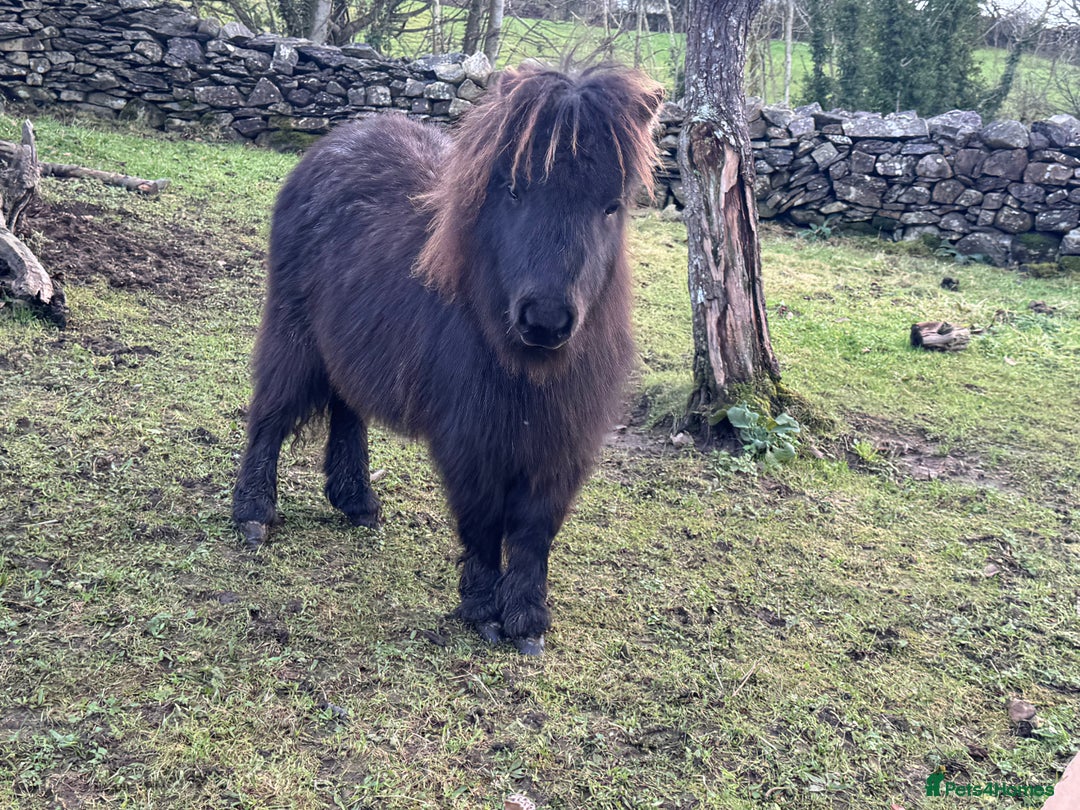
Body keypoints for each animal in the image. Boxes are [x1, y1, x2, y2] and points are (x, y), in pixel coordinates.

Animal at [232, 64, 663, 654]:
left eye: (611, 205)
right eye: (514, 190)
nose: (544, 321)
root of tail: (336, 141)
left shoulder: (561, 445)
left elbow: (534, 532)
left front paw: (528, 620)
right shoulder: (471, 440)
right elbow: (482, 524)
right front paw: (483, 612)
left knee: (346, 410)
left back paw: (357, 502)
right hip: (292, 336)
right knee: (271, 414)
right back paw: (253, 514)